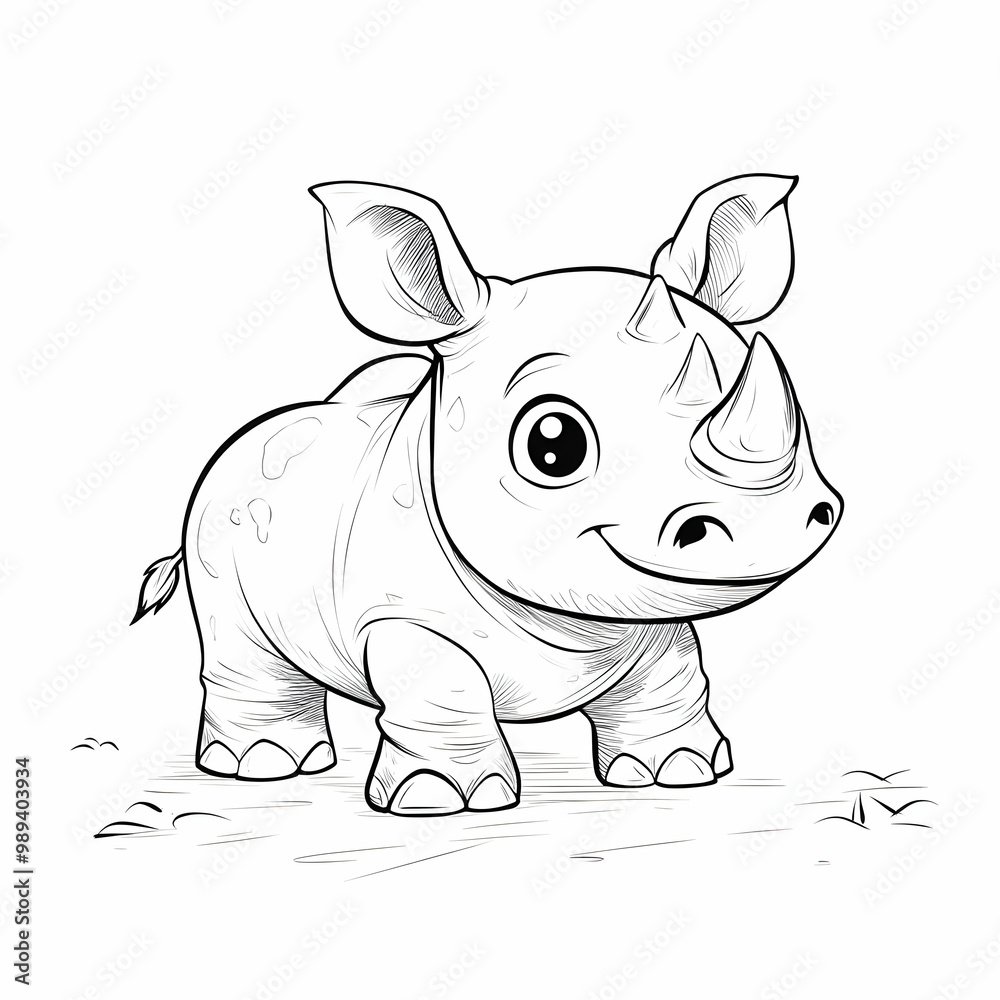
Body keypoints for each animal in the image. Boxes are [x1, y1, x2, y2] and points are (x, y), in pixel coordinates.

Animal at [132, 173, 842, 815]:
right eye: (553, 446)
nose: (774, 522)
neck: (574, 622)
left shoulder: (651, 620)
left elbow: (670, 681)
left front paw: (679, 770)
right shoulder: (407, 616)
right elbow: (444, 693)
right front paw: (437, 798)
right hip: (217, 524)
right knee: (239, 645)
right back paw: (263, 766)